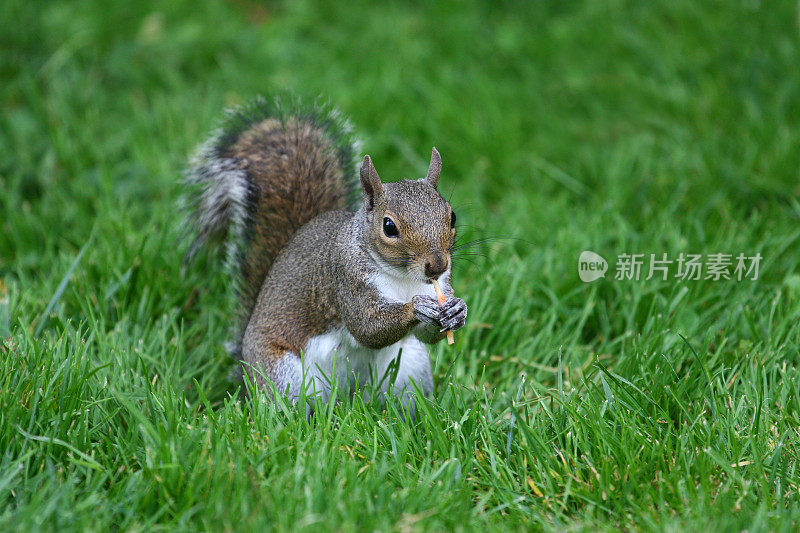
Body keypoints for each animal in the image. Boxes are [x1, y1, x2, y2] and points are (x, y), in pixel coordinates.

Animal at [184, 96, 466, 412]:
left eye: (452, 216)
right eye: (389, 227)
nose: (437, 266)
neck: (403, 278)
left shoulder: (439, 286)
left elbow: (426, 334)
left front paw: (458, 311)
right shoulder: (346, 280)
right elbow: (368, 327)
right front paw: (416, 308)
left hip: (410, 366)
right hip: (283, 377)